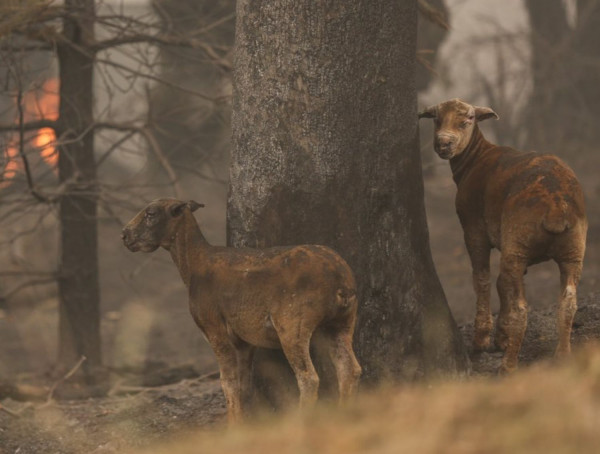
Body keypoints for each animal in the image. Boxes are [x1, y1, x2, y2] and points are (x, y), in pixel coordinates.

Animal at [119, 199, 358, 422]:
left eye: (151, 213)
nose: (124, 235)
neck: (194, 265)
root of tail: (339, 280)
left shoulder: (214, 328)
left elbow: (228, 381)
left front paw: (232, 426)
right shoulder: (244, 341)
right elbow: (244, 383)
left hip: (292, 325)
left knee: (308, 378)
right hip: (341, 323)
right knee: (349, 369)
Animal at [418, 98, 584, 372]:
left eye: (468, 120)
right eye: (436, 119)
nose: (443, 143)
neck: (476, 158)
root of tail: (556, 209)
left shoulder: (473, 227)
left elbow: (482, 279)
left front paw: (483, 340)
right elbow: (501, 283)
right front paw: (502, 337)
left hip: (518, 242)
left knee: (521, 307)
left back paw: (508, 365)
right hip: (572, 247)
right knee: (568, 301)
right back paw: (563, 356)